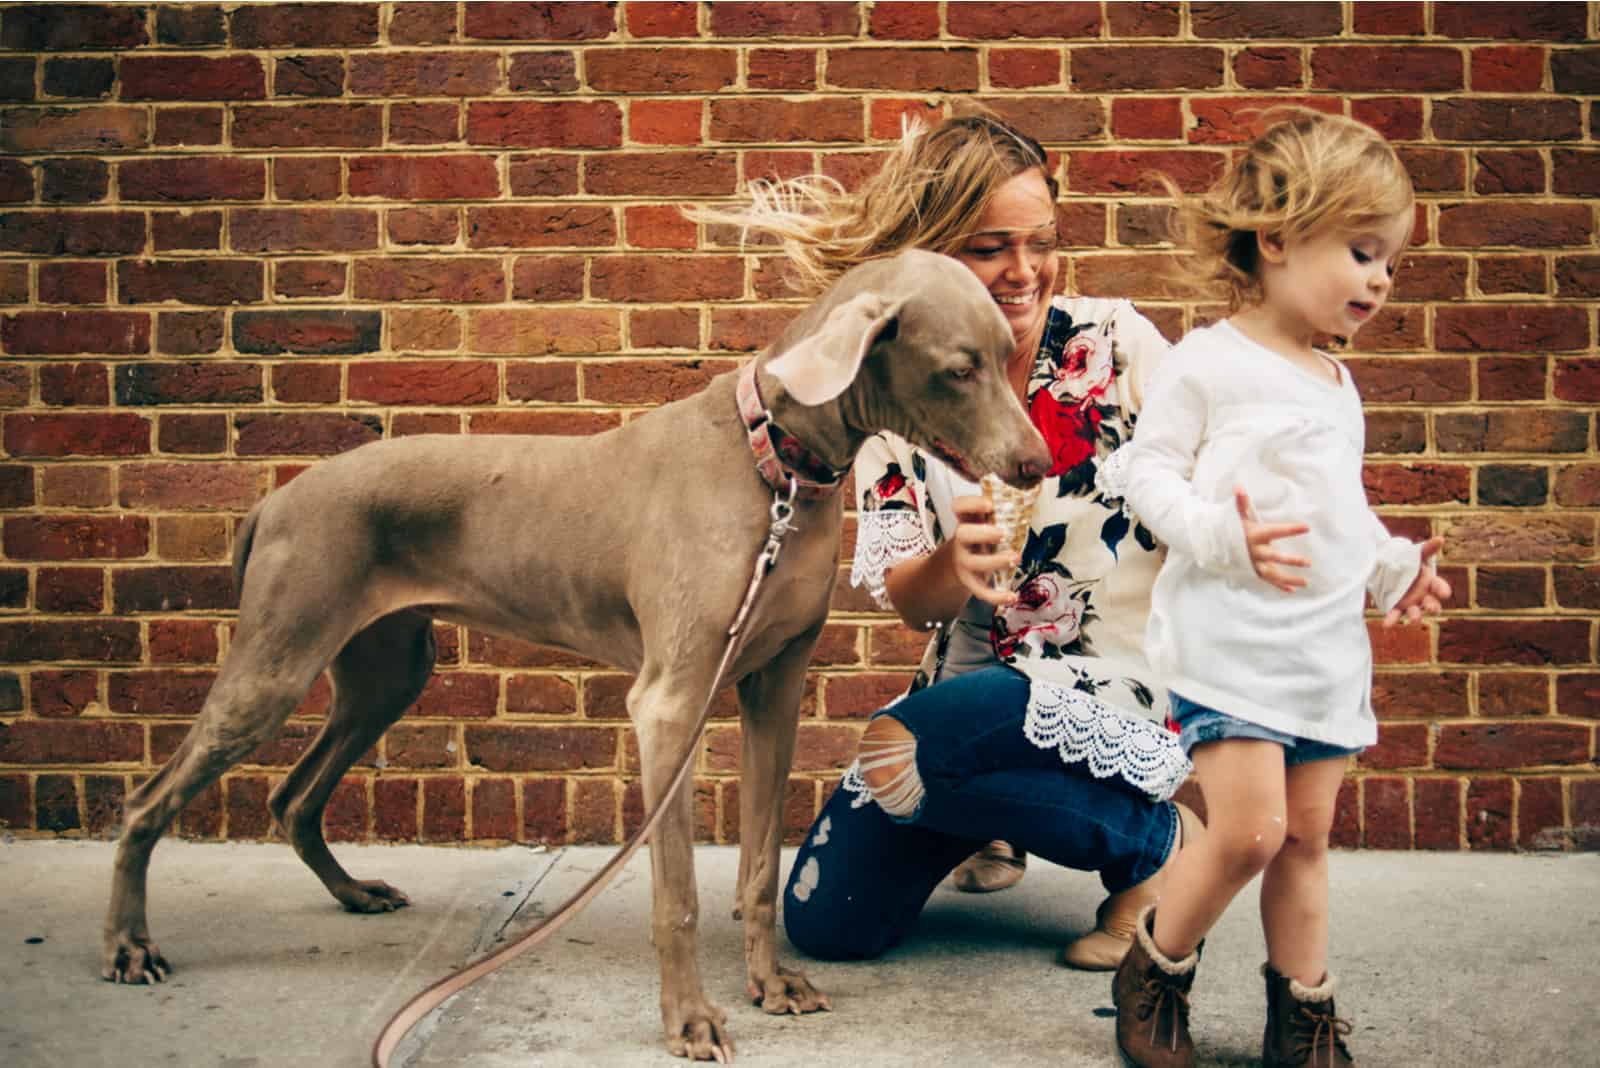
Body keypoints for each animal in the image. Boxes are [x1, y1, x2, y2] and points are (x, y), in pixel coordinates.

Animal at [96, 247, 1049, 1061]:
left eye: (1010, 353)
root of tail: (278, 498)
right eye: (959, 368)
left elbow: (758, 865)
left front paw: (771, 985)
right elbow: (677, 892)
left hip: (385, 672)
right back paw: (128, 945)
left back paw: (354, 894)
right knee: (146, 799)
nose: (1038, 463)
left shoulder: (774, 686)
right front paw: (690, 1022)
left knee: (294, 796)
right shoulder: (669, 702)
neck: (774, 467)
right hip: (278, 660)